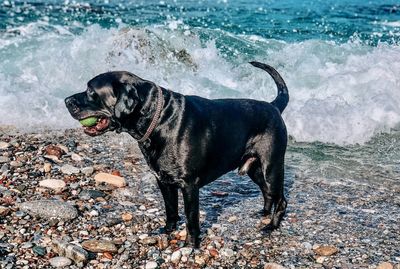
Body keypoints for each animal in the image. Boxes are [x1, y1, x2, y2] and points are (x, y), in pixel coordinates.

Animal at [66, 61, 290, 246]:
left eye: (90, 91)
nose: (67, 100)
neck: (159, 120)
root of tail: (273, 106)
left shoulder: (189, 185)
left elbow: (191, 219)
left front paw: (190, 245)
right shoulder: (163, 181)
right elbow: (171, 209)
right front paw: (168, 230)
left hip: (271, 166)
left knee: (281, 199)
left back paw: (271, 225)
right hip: (254, 168)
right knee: (267, 192)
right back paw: (263, 213)